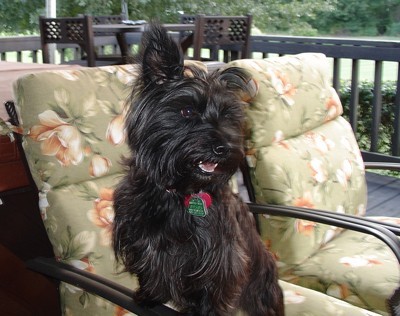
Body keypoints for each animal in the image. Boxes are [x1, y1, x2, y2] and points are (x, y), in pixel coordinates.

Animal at [112, 23, 284, 314]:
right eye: (187, 111)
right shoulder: (142, 240)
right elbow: (150, 271)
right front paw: (149, 295)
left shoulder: (221, 256)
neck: (180, 191)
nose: (224, 148)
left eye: (227, 115)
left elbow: (212, 290)